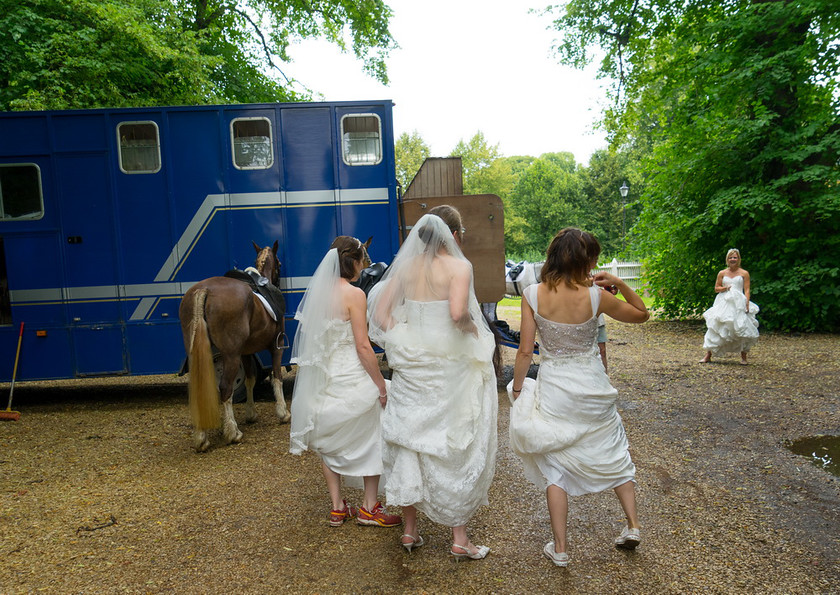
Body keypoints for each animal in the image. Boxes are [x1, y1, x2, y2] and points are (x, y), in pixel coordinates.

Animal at [179, 241, 290, 452]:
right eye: (280, 263)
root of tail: (204, 290)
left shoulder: (245, 352)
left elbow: (250, 380)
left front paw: (251, 414)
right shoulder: (276, 346)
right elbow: (277, 377)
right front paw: (283, 413)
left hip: (202, 353)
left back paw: (201, 438)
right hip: (230, 355)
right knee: (225, 388)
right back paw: (232, 432)